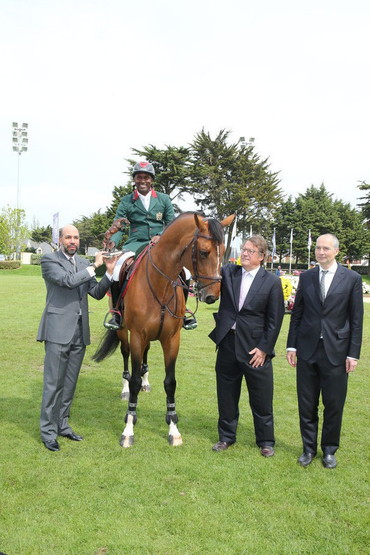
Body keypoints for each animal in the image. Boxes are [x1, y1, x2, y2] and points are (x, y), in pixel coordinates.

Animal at [94, 211, 236, 450]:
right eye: (204, 252)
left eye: (224, 251)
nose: (213, 295)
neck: (160, 283)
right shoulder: (137, 337)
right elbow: (134, 381)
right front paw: (128, 428)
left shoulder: (171, 339)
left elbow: (170, 383)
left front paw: (173, 428)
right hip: (123, 332)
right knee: (125, 357)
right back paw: (125, 388)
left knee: (145, 357)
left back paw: (146, 381)